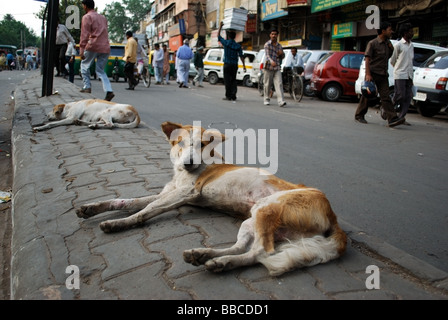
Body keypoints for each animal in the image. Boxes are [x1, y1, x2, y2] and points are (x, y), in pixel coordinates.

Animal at [75, 121, 346, 276]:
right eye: (180, 143)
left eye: (202, 145)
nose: (189, 162)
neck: (184, 172)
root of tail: (333, 215)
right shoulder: (170, 193)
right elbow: (127, 201)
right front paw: (94, 208)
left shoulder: (184, 194)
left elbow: (147, 209)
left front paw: (122, 223)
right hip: (253, 219)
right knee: (244, 248)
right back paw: (205, 256)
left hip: (266, 208)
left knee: (262, 252)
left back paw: (220, 262)